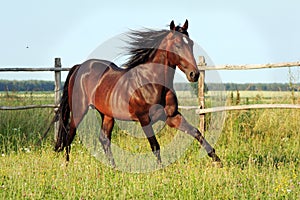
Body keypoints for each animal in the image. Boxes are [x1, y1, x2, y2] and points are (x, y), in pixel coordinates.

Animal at [54, 19, 220, 167]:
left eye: (191, 44)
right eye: (177, 45)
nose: (194, 74)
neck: (153, 83)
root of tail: (79, 67)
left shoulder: (171, 116)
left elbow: (196, 132)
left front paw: (218, 161)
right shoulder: (144, 118)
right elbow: (155, 145)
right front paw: (161, 170)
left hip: (107, 114)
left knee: (104, 139)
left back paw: (114, 168)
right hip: (79, 109)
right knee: (69, 135)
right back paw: (66, 166)